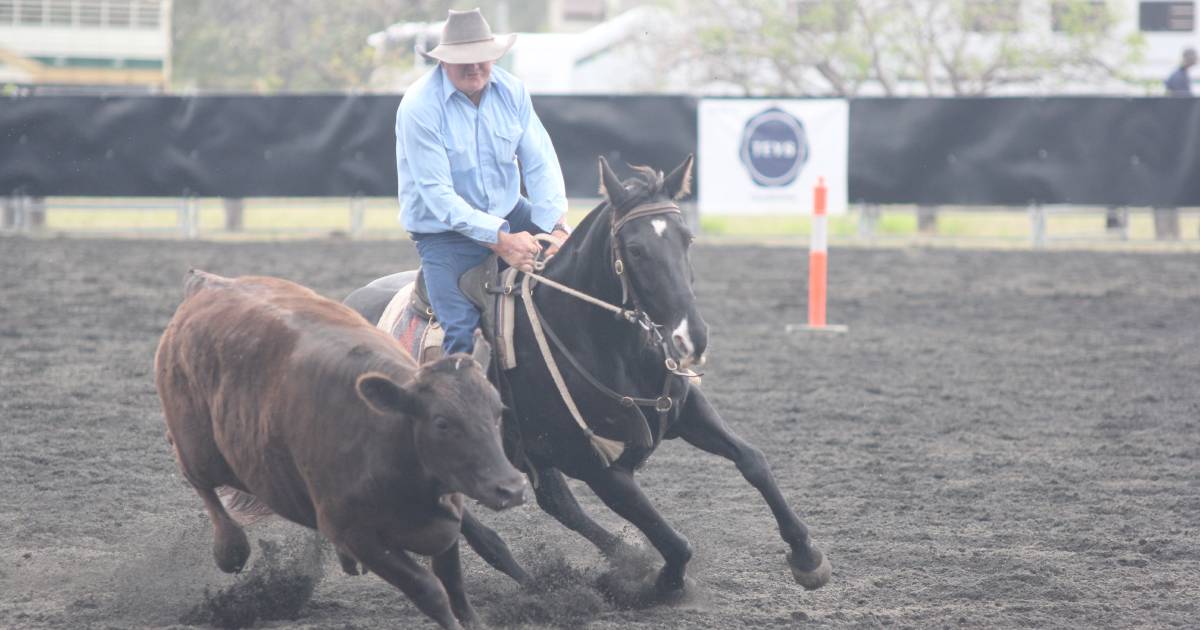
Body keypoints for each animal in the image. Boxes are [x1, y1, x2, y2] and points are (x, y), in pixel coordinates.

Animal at [153, 270, 520, 628]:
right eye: (442, 422)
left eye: (498, 410)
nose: (511, 488)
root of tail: (208, 283)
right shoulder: (356, 535)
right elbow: (431, 591)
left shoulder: (446, 519)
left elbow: (453, 584)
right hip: (201, 450)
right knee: (194, 472)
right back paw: (230, 548)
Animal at [348, 154, 830, 597]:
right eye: (634, 249)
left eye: (687, 239)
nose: (691, 336)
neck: (601, 341)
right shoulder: (597, 466)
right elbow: (675, 541)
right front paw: (663, 586)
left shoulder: (685, 410)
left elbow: (753, 460)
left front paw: (807, 557)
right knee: (477, 526)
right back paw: (541, 583)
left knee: (557, 503)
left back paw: (618, 560)